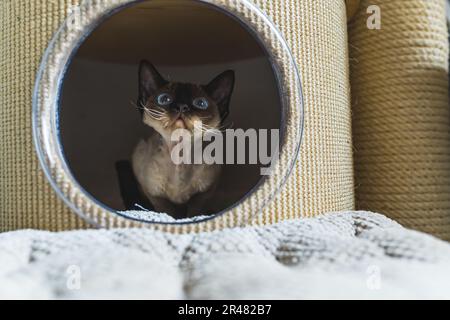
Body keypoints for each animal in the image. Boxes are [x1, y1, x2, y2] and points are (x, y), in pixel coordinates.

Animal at [131, 60, 234, 218]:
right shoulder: (154, 195)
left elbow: (194, 211)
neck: (179, 157)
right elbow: (167, 212)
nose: (181, 106)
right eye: (164, 99)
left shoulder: (204, 193)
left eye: (200, 103)